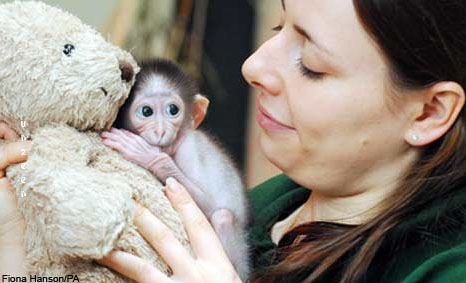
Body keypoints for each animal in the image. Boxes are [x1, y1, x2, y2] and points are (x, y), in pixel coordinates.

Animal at [100, 58, 249, 280]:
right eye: (146, 112)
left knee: (223, 217)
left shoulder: (189, 147)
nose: (161, 130)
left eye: (173, 110)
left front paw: (149, 156)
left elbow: (211, 205)